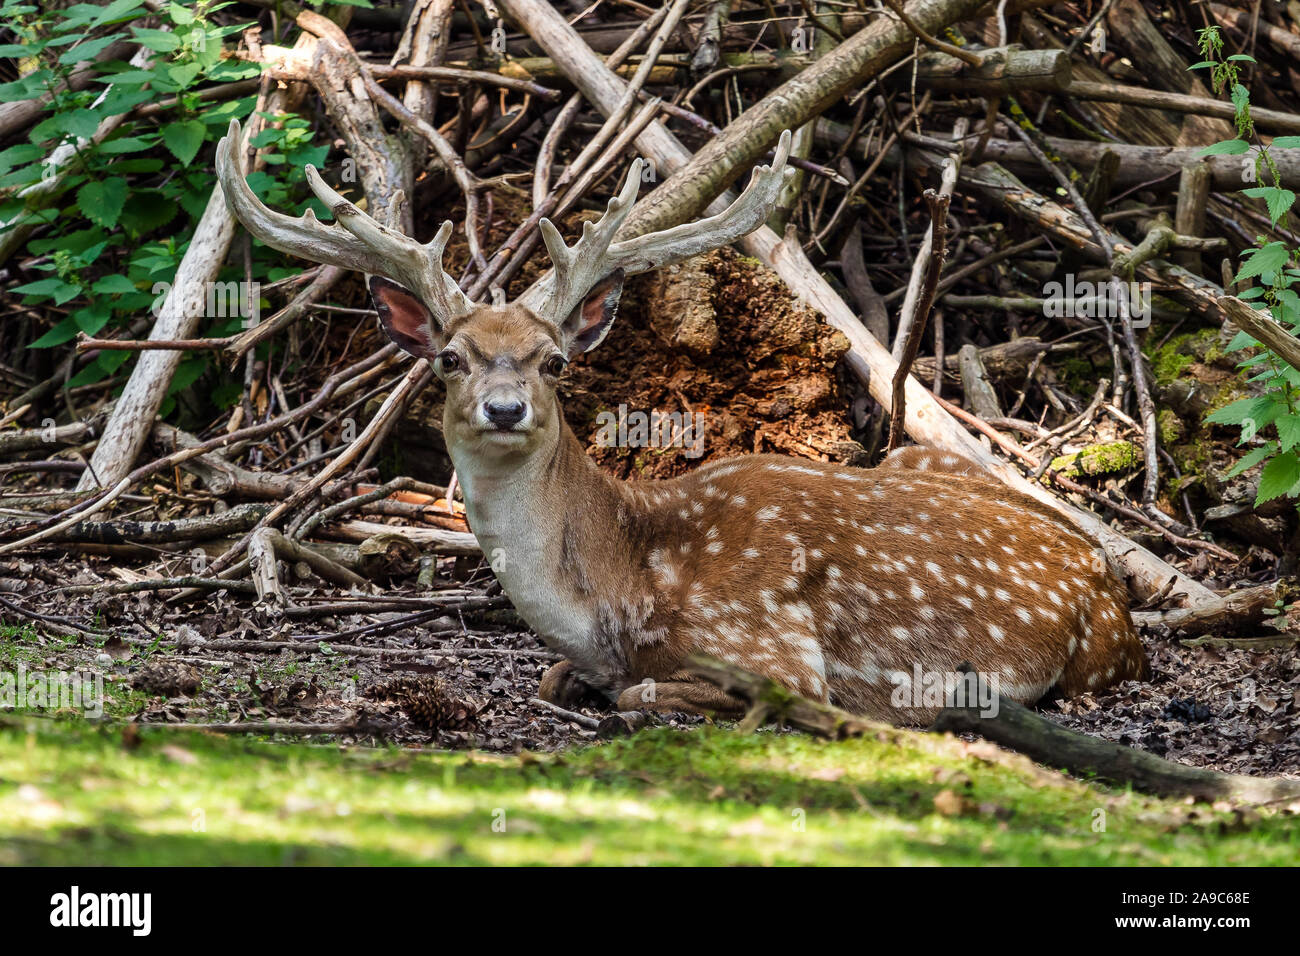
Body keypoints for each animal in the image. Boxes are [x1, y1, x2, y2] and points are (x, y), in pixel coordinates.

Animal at [215, 119, 1149, 723]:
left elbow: (643, 691)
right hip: (916, 459)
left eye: (554, 360)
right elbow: (556, 680)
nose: (506, 408)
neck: (624, 590)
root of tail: (1111, 585)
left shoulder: (773, 648)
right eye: (450, 358)